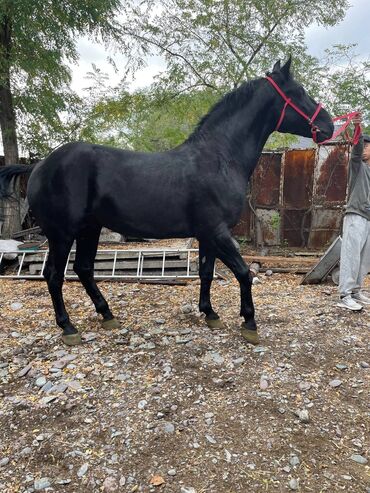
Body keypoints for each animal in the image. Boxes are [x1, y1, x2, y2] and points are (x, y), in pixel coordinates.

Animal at [0, 57, 334, 344]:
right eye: (299, 92)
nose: (329, 126)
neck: (219, 157)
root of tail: (39, 165)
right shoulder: (218, 232)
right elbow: (243, 272)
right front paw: (249, 323)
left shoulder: (207, 234)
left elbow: (206, 272)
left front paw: (210, 313)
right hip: (62, 233)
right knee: (54, 275)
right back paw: (68, 327)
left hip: (89, 229)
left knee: (83, 268)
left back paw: (107, 315)